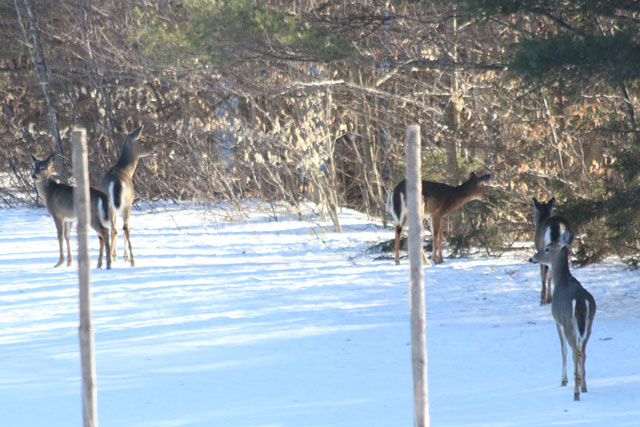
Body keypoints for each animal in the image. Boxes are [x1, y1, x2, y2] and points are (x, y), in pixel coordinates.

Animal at [101, 126, 156, 267]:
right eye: (142, 140)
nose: (155, 150)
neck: (126, 170)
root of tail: (116, 182)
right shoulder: (129, 204)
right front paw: (125, 257)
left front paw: (115, 255)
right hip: (126, 204)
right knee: (125, 227)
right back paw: (131, 260)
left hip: (109, 204)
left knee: (113, 228)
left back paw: (110, 257)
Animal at [529, 231, 596, 401]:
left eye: (547, 249)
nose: (532, 258)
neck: (560, 279)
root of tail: (581, 300)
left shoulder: (557, 320)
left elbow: (563, 349)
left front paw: (563, 380)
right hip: (589, 323)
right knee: (583, 352)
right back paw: (583, 386)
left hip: (569, 323)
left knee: (574, 352)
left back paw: (576, 392)